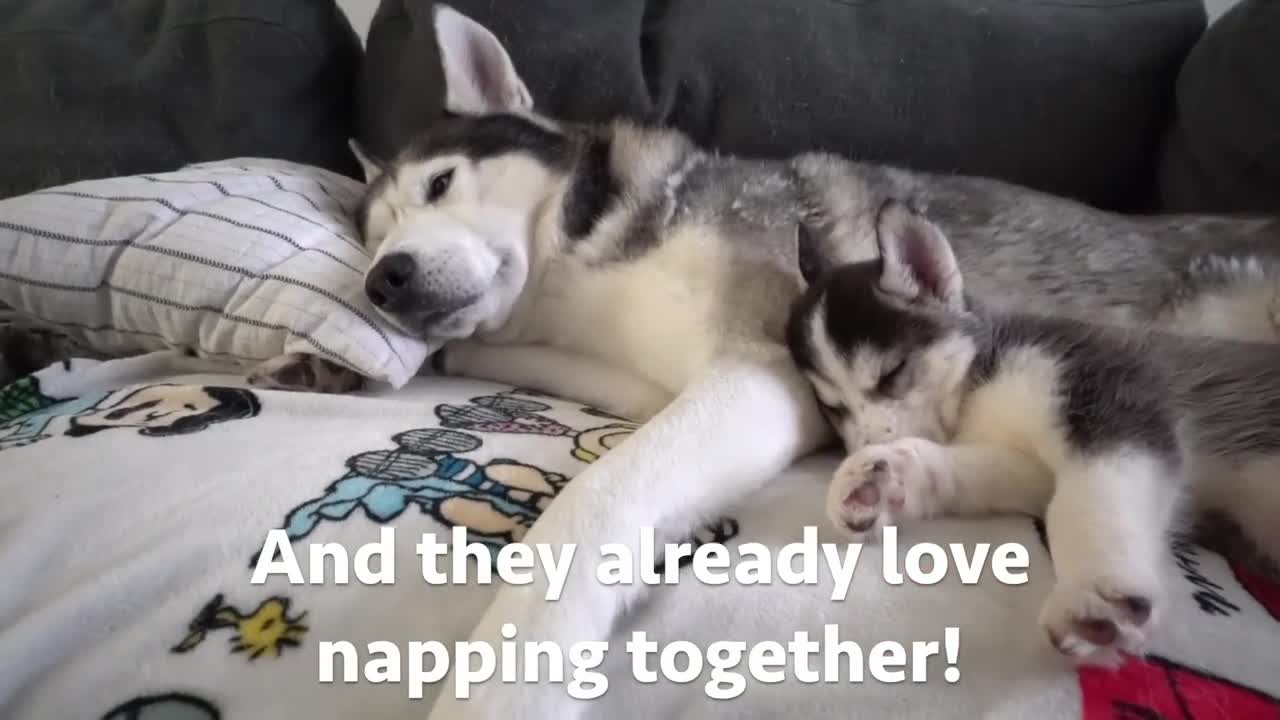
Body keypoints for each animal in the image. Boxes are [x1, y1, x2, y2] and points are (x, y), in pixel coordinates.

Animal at [783, 198, 1280, 666]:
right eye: (831, 406)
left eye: (893, 372)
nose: (868, 448)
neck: (976, 386)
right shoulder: (1034, 467)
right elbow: (1003, 478)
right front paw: (889, 477)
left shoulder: (1107, 388)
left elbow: (1087, 499)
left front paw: (1094, 588)